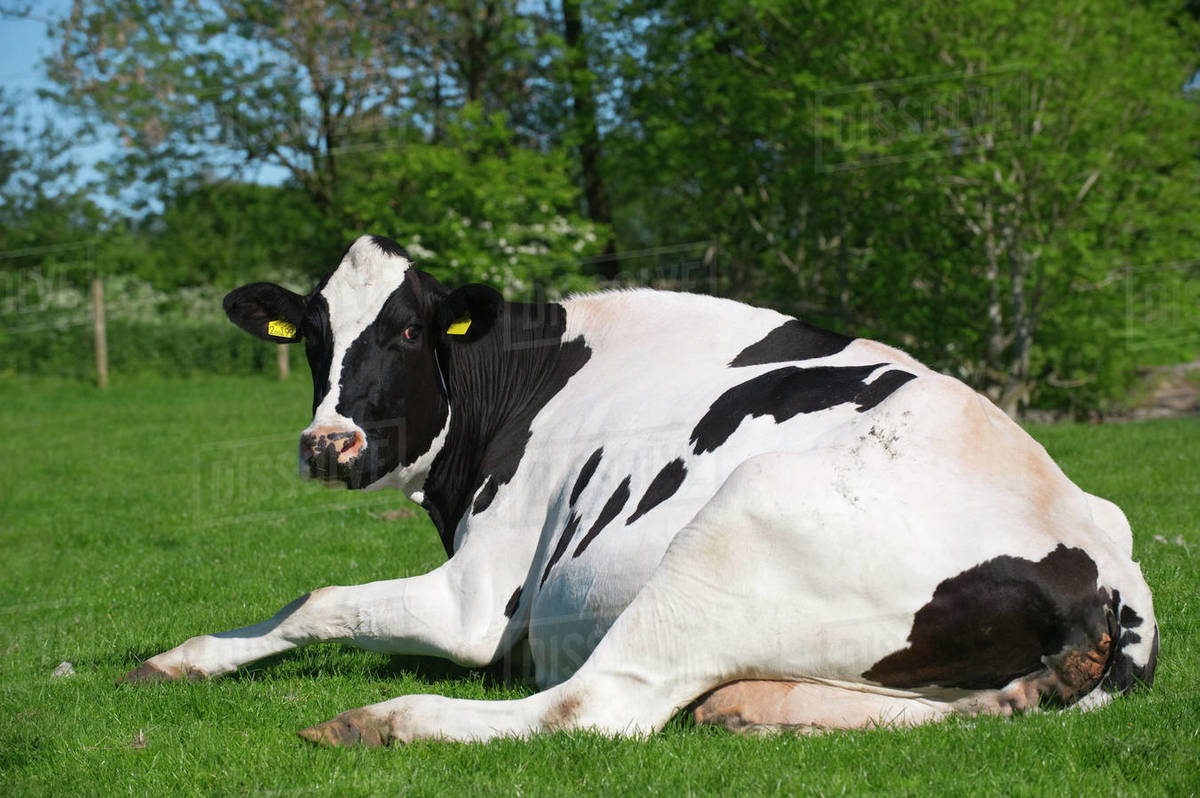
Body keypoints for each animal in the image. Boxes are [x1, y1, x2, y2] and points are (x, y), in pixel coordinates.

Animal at [121, 234, 1158, 745]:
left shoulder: (478, 602)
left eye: (411, 332)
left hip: (738, 527)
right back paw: (754, 708)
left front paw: (193, 657)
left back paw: (383, 723)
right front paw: (181, 658)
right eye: (315, 334)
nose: (327, 443)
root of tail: (1102, 570)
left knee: (593, 708)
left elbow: (320, 596)